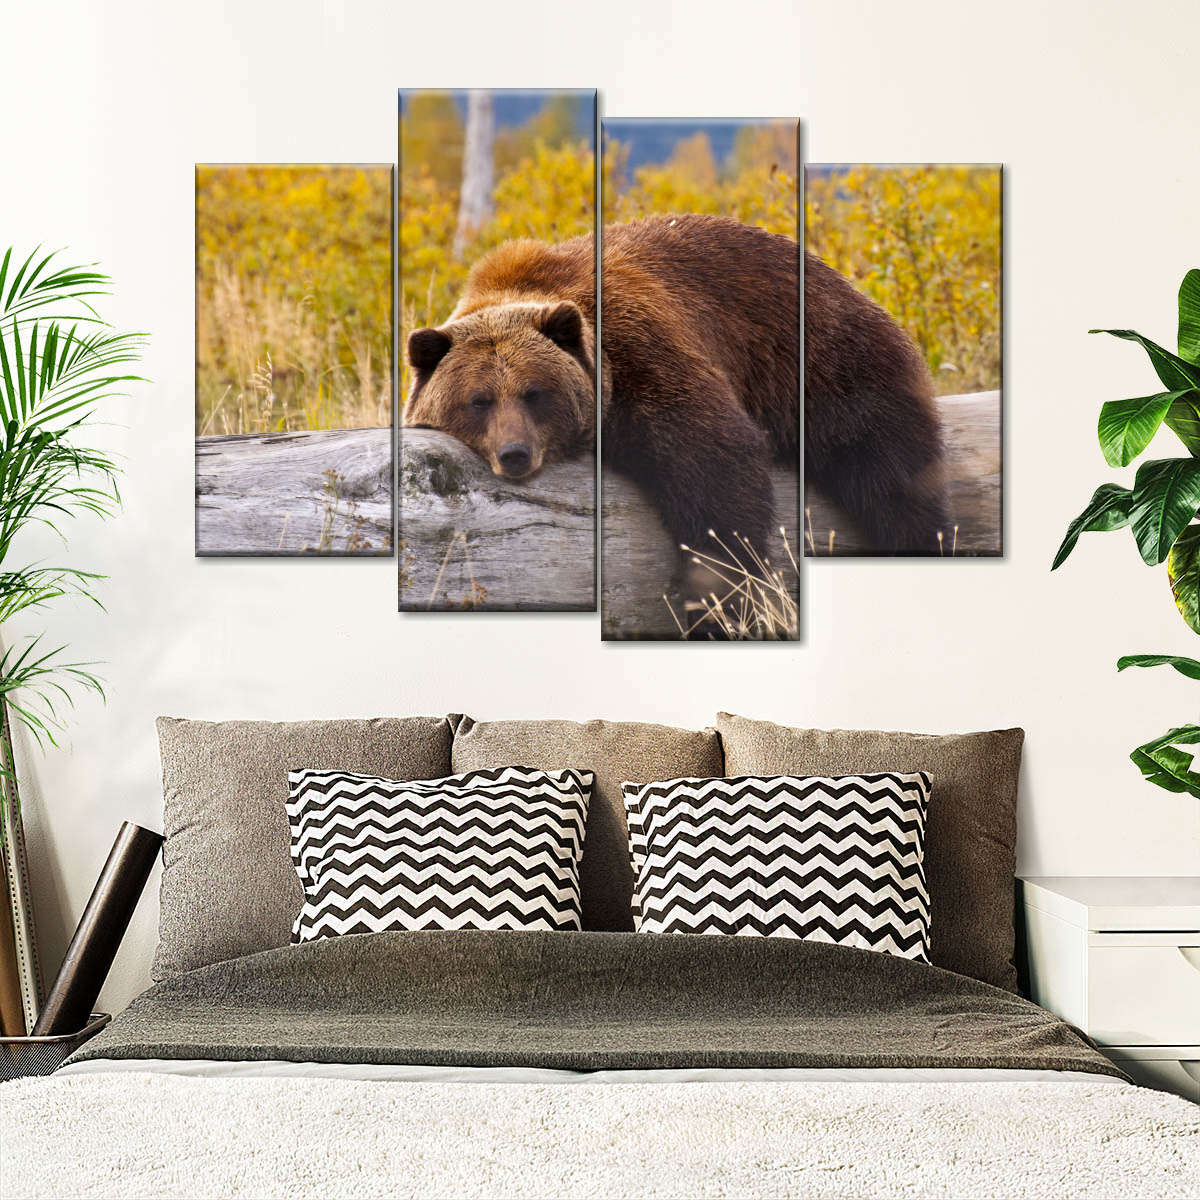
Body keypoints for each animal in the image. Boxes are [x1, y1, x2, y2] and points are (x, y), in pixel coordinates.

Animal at [404, 213, 948, 567]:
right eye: (478, 400)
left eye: (535, 392)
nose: (514, 453)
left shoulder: (640, 350)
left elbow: (714, 462)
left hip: (827, 362)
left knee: (889, 471)